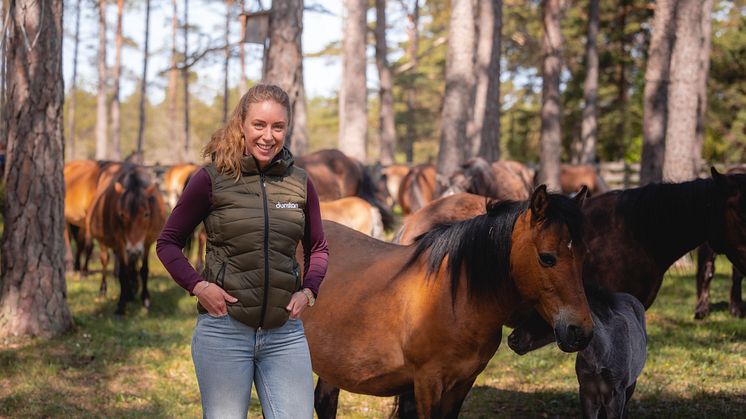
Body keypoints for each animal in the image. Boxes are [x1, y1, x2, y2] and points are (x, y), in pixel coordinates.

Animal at [85, 163, 166, 316]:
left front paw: (145, 299)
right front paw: (121, 305)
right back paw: (104, 291)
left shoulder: (147, 242)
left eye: (146, 214)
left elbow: (144, 270)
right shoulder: (122, 243)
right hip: (104, 242)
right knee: (106, 261)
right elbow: (123, 272)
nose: (134, 250)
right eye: (122, 215)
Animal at [300, 187, 588, 419]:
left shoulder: (462, 383)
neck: (456, 299)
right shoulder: (427, 383)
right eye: (547, 257)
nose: (580, 331)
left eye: (583, 254)